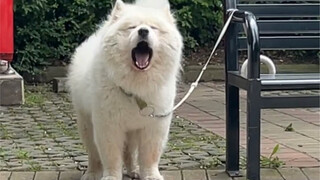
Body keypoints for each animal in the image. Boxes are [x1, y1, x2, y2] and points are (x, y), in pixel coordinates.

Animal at [67, 0, 182, 179]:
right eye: (132, 27)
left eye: (153, 28)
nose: (143, 31)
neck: (135, 87)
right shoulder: (108, 125)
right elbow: (111, 155)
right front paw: (111, 176)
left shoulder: (153, 126)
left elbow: (150, 155)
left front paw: (150, 175)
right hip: (86, 123)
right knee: (93, 154)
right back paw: (92, 173)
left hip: (132, 131)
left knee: (129, 153)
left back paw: (133, 170)